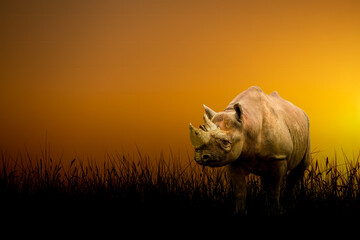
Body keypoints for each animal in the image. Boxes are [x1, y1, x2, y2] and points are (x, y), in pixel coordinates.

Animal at [190, 86, 310, 214]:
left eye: (226, 142)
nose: (200, 156)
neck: (248, 124)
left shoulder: (279, 156)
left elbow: (275, 187)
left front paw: (277, 211)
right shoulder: (234, 159)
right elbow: (240, 189)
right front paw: (240, 211)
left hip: (306, 127)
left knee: (300, 168)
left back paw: (289, 206)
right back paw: (266, 206)